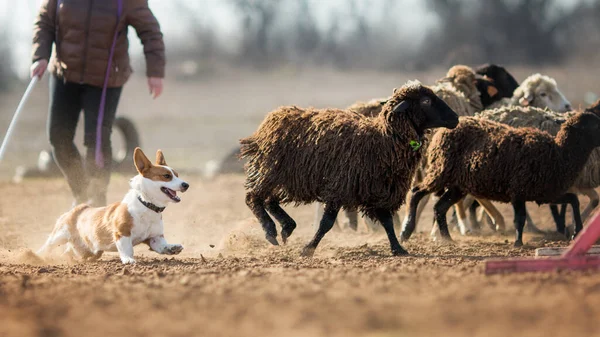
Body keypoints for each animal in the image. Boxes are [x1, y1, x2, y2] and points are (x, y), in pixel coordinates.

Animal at [38, 147, 188, 262]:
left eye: (177, 174)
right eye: (167, 176)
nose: (186, 185)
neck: (146, 205)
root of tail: (77, 209)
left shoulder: (154, 238)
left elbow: (162, 246)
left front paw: (172, 248)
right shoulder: (122, 233)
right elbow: (127, 249)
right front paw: (128, 260)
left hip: (87, 251)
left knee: (70, 253)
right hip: (59, 235)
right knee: (46, 247)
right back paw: (35, 256)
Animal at [241, 80, 458, 255]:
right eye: (426, 101)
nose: (455, 118)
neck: (383, 140)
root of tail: (274, 115)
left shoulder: (378, 189)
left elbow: (387, 222)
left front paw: (398, 248)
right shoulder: (339, 187)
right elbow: (326, 223)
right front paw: (309, 249)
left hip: (289, 178)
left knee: (269, 200)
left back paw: (286, 226)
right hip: (272, 171)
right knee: (253, 198)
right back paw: (270, 230)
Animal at [400, 111, 600, 245]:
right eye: (593, 124)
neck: (560, 154)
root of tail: (442, 132)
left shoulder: (545, 194)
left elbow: (573, 200)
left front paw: (576, 231)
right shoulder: (518, 191)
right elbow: (520, 218)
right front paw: (518, 243)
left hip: (457, 185)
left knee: (439, 207)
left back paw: (447, 238)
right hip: (440, 172)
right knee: (416, 193)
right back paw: (406, 232)